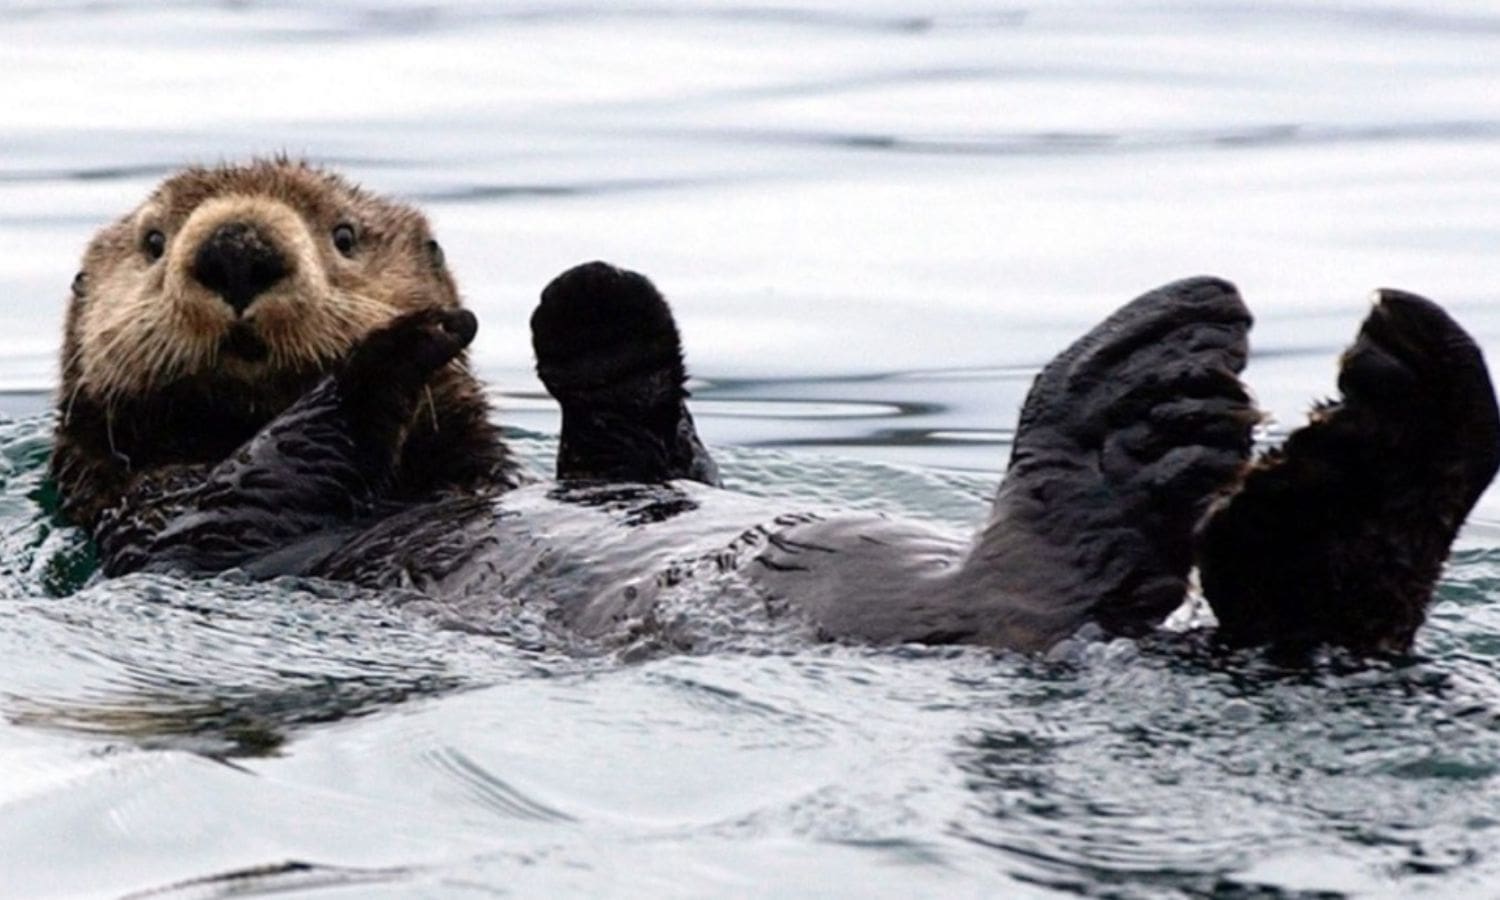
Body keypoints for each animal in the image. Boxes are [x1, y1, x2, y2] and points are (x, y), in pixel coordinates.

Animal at [51, 157, 522, 564]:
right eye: (153, 242)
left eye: (345, 236)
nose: (236, 250)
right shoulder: (145, 509)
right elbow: (211, 521)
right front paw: (406, 344)